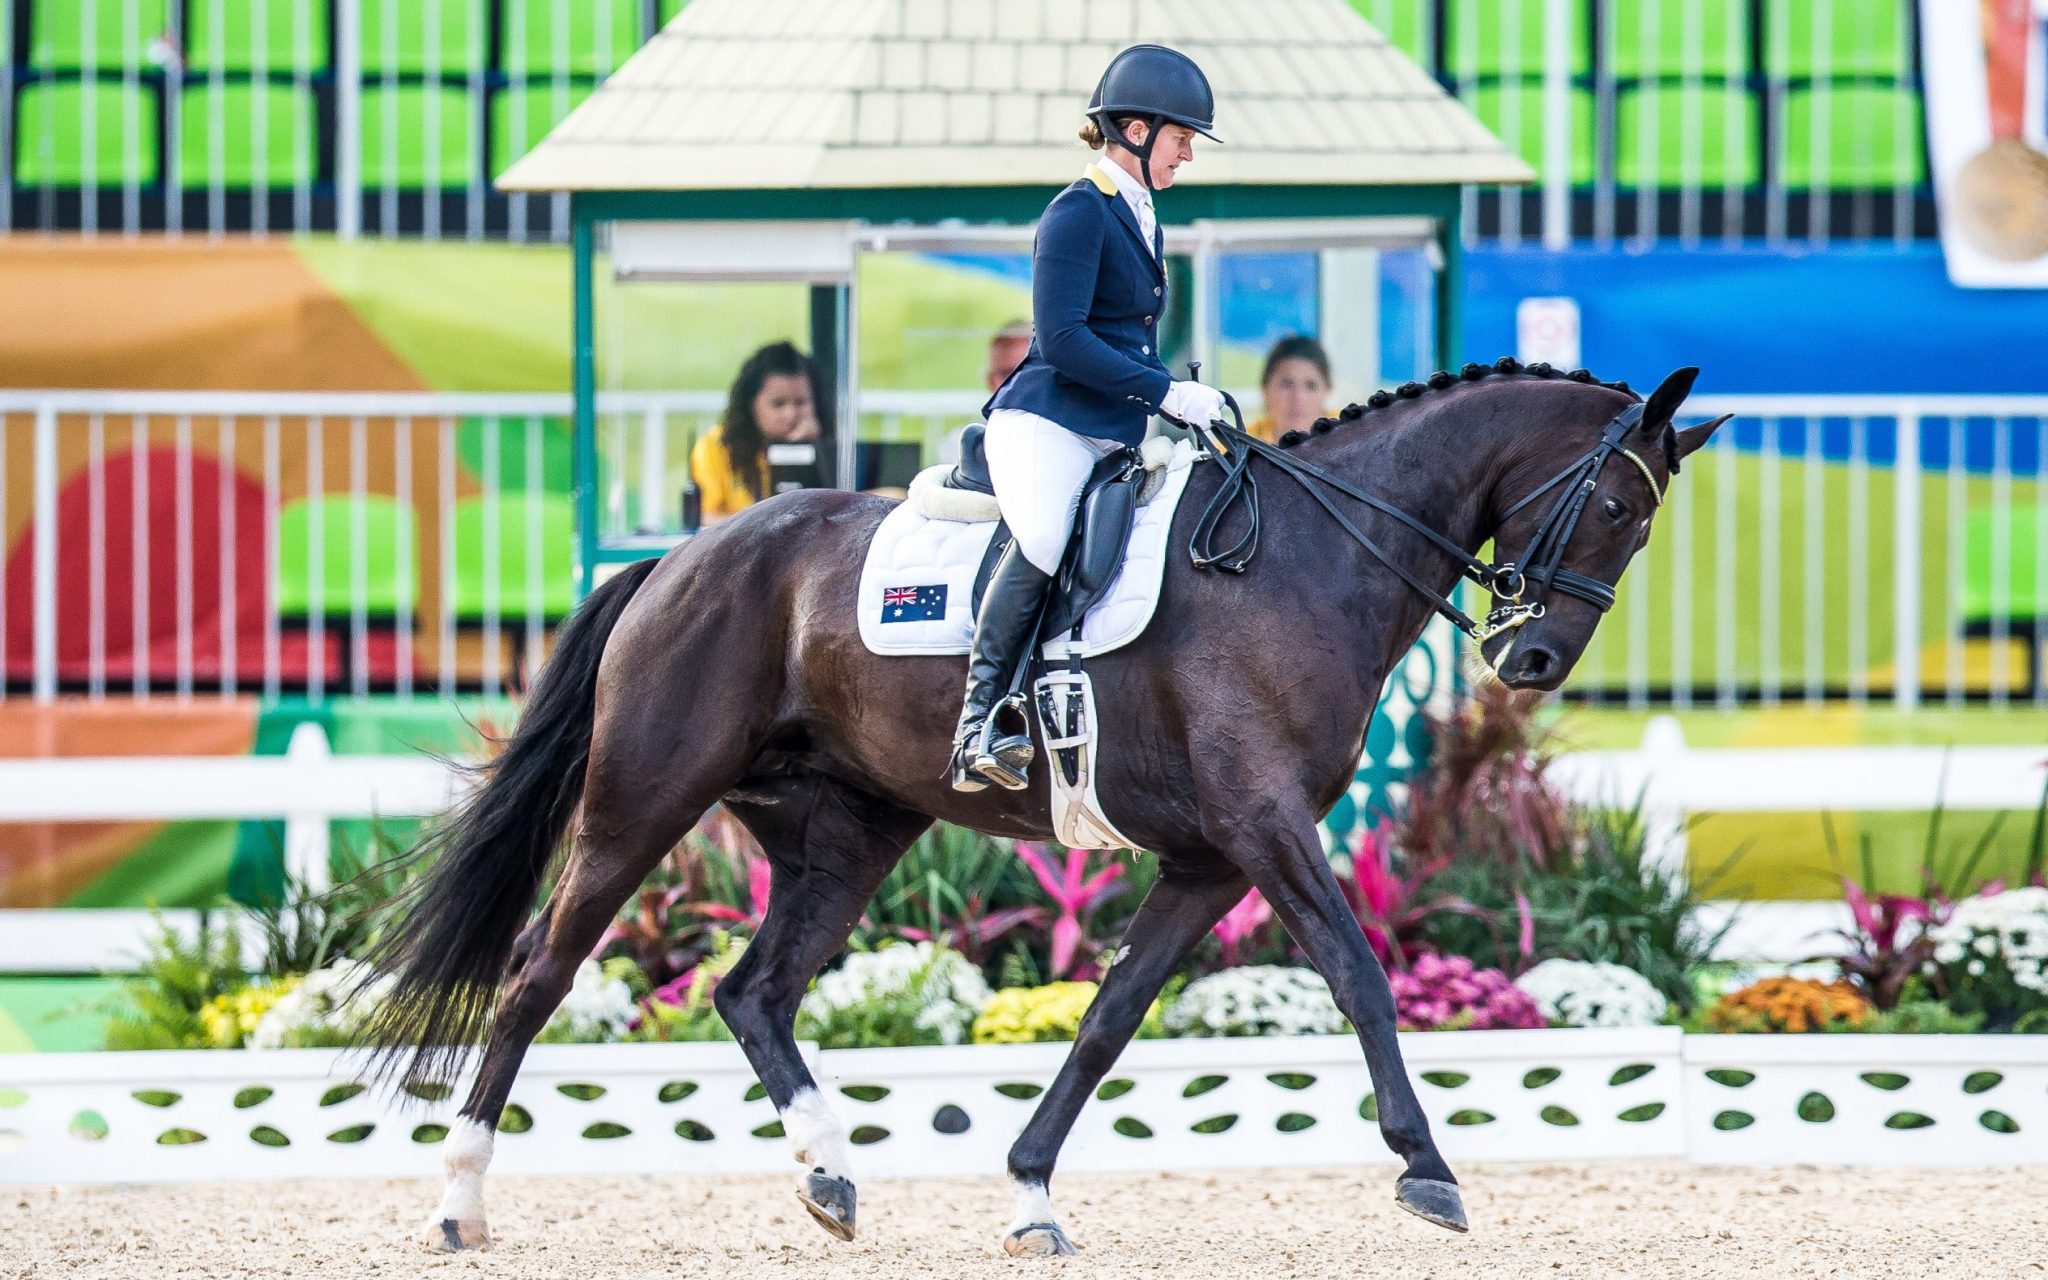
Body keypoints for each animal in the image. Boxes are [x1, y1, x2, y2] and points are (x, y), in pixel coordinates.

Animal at [364, 354, 1728, 1253]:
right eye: (1615, 506)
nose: (1529, 660)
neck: (1312, 556)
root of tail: (679, 557)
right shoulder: (1264, 823)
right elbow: (1357, 973)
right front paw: (1429, 1168)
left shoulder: (1208, 859)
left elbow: (1107, 1019)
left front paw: (1027, 1192)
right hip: (642, 800)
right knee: (538, 971)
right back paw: (460, 1198)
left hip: (848, 830)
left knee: (753, 989)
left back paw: (830, 1177)